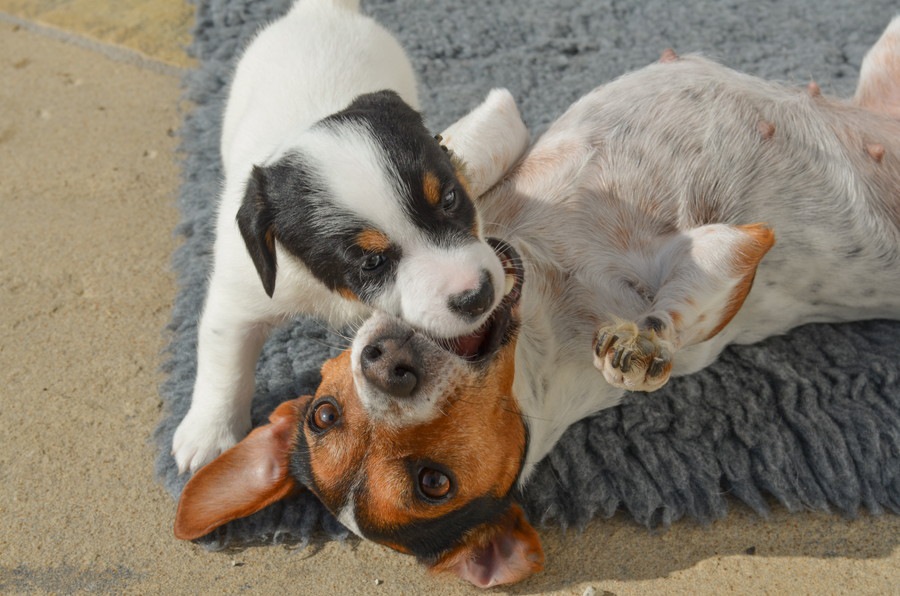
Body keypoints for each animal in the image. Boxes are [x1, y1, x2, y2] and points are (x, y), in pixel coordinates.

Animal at [171, 0, 528, 474]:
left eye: (451, 198)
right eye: (370, 262)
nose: (478, 297)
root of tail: (321, 10)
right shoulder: (241, 294)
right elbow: (224, 362)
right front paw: (209, 434)